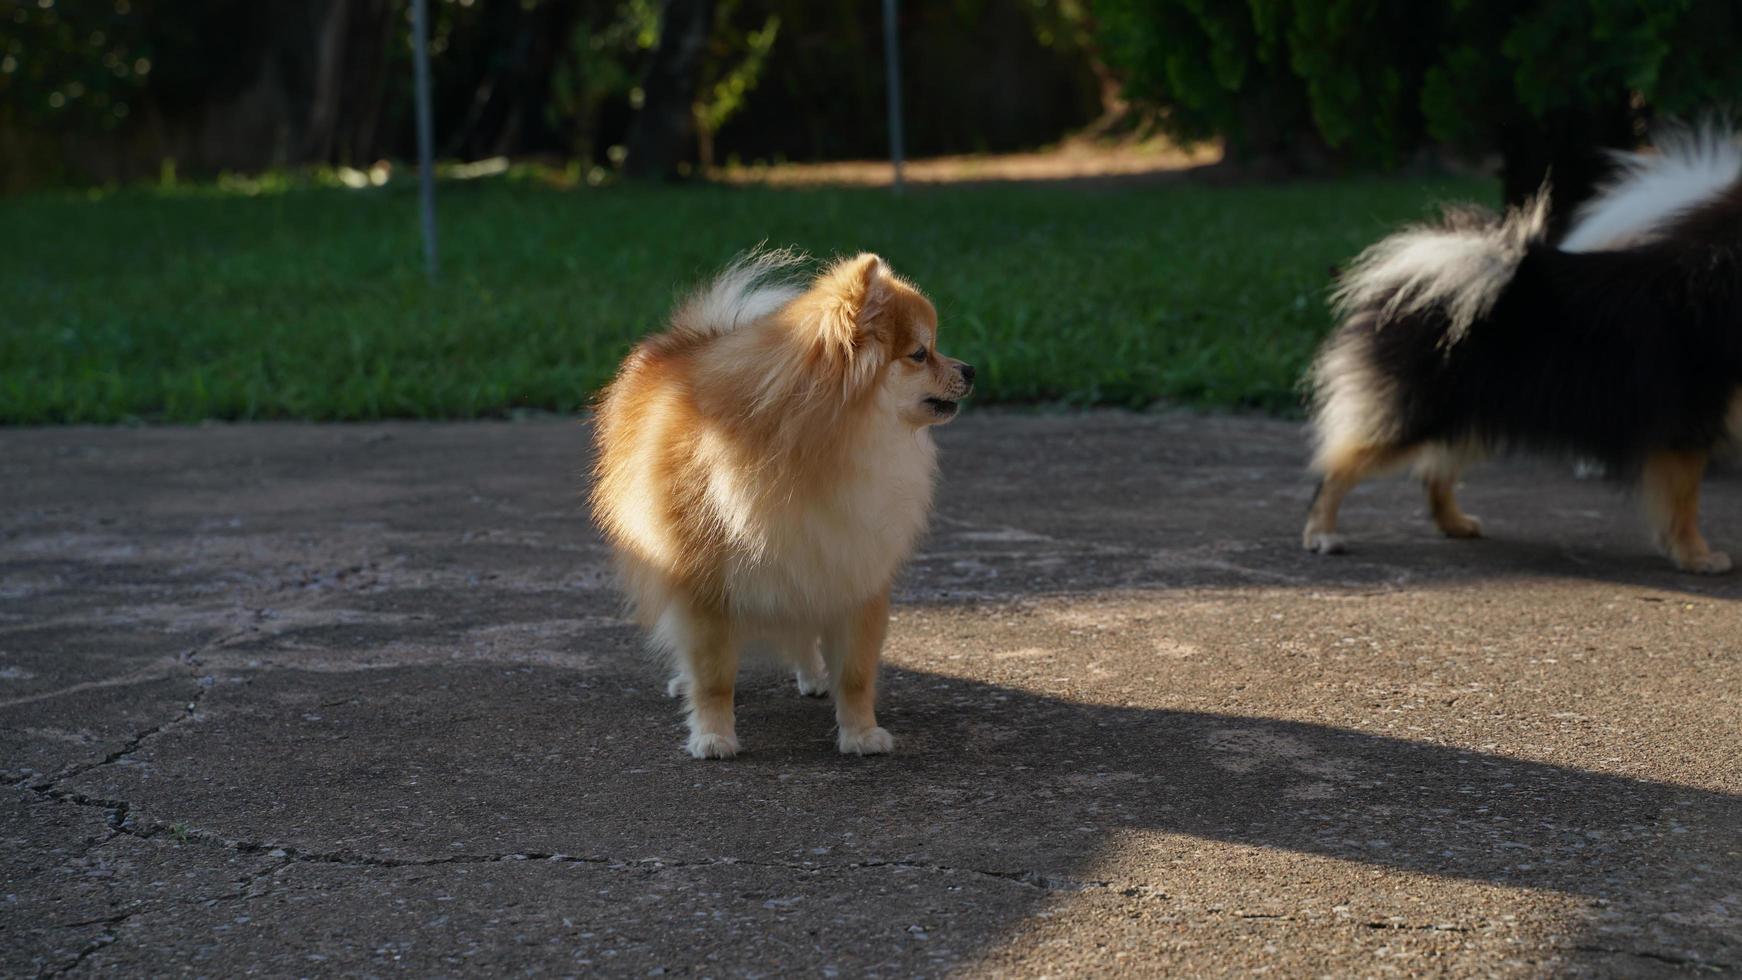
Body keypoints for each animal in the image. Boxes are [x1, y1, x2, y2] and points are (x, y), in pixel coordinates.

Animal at [588, 250, 975, 758]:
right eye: (920, 353)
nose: (970, 369)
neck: (822, 450)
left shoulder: (854, 568)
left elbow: (855, 673)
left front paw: (860, 733)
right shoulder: (704, 585)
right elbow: (713, 676)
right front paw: (713, 735)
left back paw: (813, 676)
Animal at [1309, 128, 1742, 574]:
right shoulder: (1688, 425)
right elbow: (1683, 503)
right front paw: (1697, 556)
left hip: (1475, 415)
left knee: (1433, 472)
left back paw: (1455, 524)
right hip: (1421, 412)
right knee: (1339, 467)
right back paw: (1322, 533)